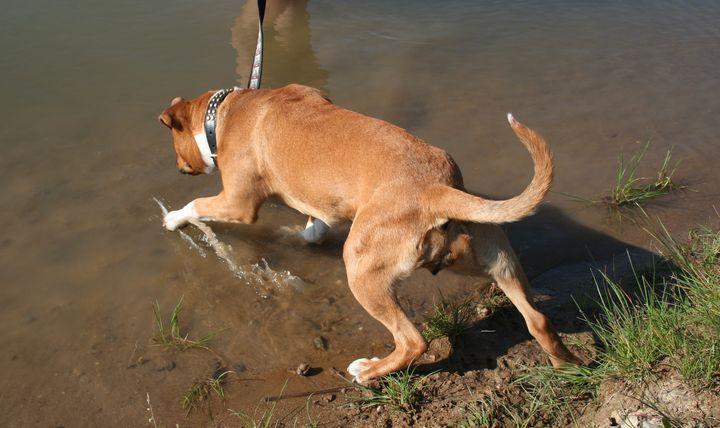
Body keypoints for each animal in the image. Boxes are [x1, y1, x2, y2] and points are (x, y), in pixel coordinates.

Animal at [158, 83, 580, 382]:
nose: (178, 168)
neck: (226, 113)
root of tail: (438, 189)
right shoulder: (319, 205)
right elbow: (313, 228)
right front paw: (296, 235)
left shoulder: (238, 203)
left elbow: (198, 205)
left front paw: (174, 218)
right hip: (497, 258)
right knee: (537, 319)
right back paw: (569, 369)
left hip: (363, 271)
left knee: (413, 341)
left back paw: (368, 371)